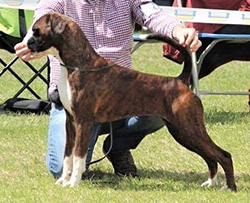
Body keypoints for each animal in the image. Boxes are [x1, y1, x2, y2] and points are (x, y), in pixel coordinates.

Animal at [24, 12, 236, 190]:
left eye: (36, 31)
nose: (26, 44)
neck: (78, 64)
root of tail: (179, 81)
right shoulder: (71, 122)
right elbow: (67, 156)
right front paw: (63, 180)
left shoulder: (84, 122)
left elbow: (78, 157)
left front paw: (73, 183)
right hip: (182, 132)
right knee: (210, 157)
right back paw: (210, 183)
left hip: (189, 129)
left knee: (223, 155)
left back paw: (230, 187)